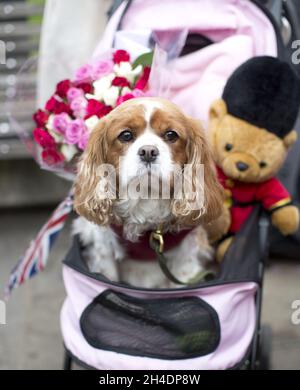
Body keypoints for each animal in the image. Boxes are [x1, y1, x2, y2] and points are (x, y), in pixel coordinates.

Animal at [72, 96, 223, 290]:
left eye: (171, 135)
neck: (146, 196)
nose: (148, 151)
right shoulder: (103, 248)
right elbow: (108, 277)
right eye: (126, 135)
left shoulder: (186, 255)